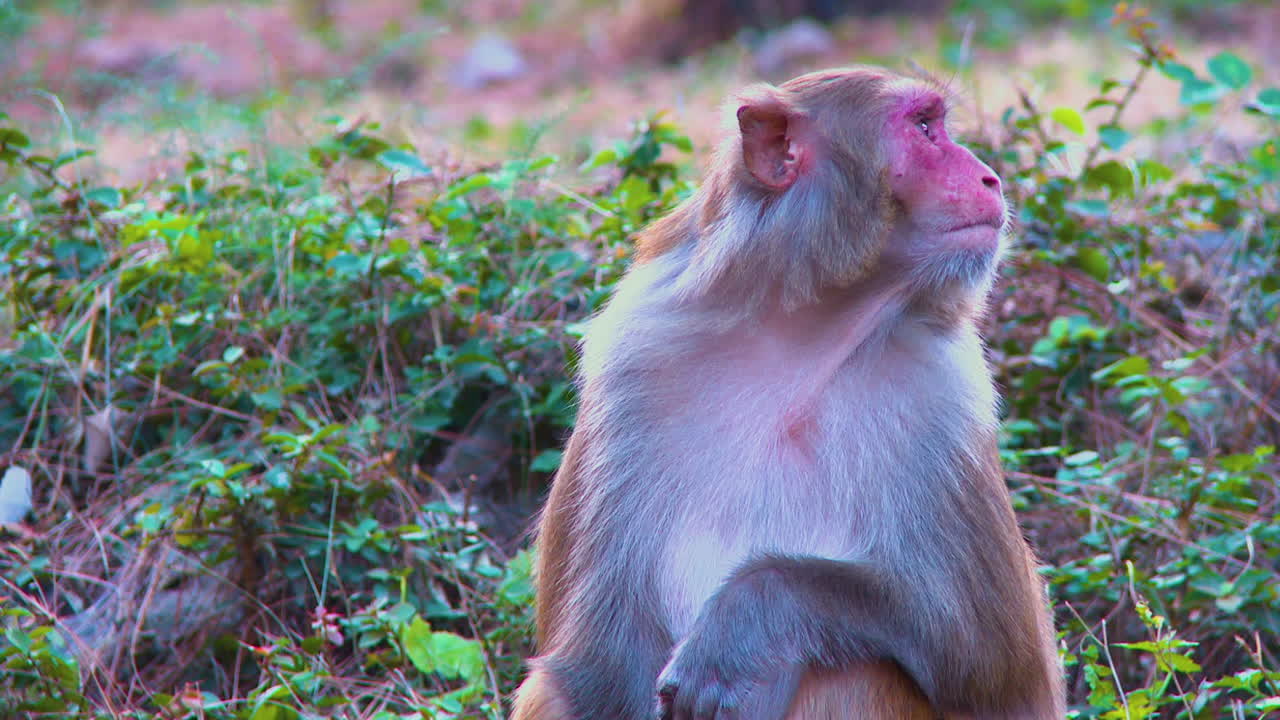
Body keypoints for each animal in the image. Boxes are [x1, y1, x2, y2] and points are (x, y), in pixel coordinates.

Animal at [512, 66, 1066, 720]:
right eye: (925, 127)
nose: (990, 177)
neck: (799, 331)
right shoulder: (628, 367)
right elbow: (596, 668)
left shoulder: (945, 393)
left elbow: (990, 660)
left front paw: (745, 618)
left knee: (853, 671)